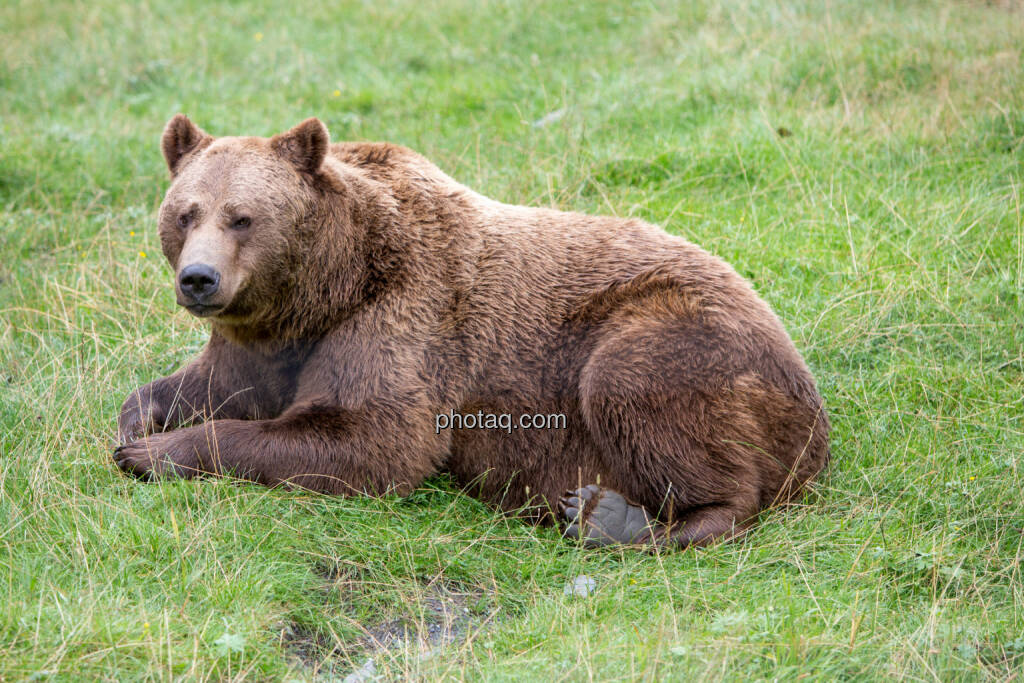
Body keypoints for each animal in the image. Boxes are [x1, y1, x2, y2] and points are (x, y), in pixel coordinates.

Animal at [114, 113, 831, 548]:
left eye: (243, 217)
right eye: (185, 213)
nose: (199, 279)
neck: (326, 287)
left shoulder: (402, 316)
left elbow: (371, 438)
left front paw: (154, 453)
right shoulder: (268, 338)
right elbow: (213, 382)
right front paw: (139, 419)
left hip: (685, 333)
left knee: (642, 390)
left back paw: (616, 517)